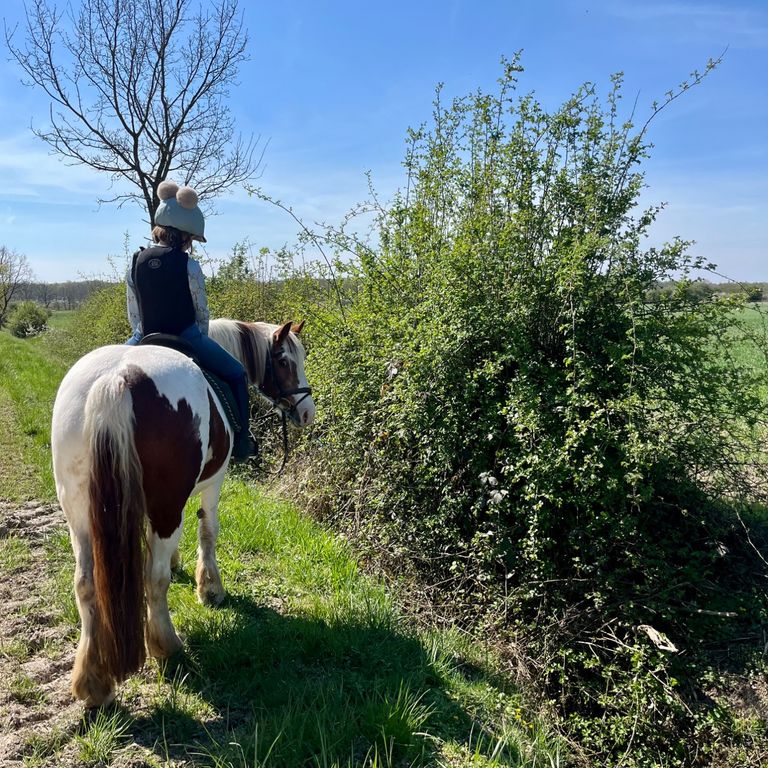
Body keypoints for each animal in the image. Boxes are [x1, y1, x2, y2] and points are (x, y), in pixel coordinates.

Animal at [51, 319, 315, 707]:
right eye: (283, 360)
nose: (307, 411)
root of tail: (115, 379)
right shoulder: (212, 482)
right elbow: (208, 529)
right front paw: (211, 589)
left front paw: (178, 563)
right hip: (164, 504)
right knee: (153, 579)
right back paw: (166, 645)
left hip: (80, 513)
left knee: (85, 584)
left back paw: (93, 682)